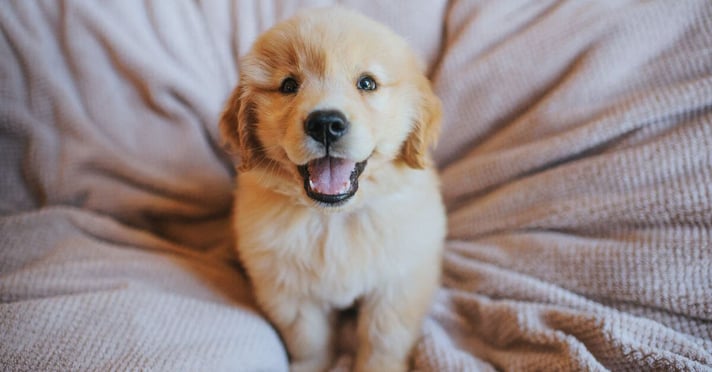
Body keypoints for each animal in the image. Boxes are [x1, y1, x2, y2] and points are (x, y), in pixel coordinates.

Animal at [221, 6, 444, 372]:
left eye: (367, 83)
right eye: (288, 85)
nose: (325, 123)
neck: (334, 219)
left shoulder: (399, 284)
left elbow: (383, 340)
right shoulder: (288, 289)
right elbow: (309, 339)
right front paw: (312, 366)